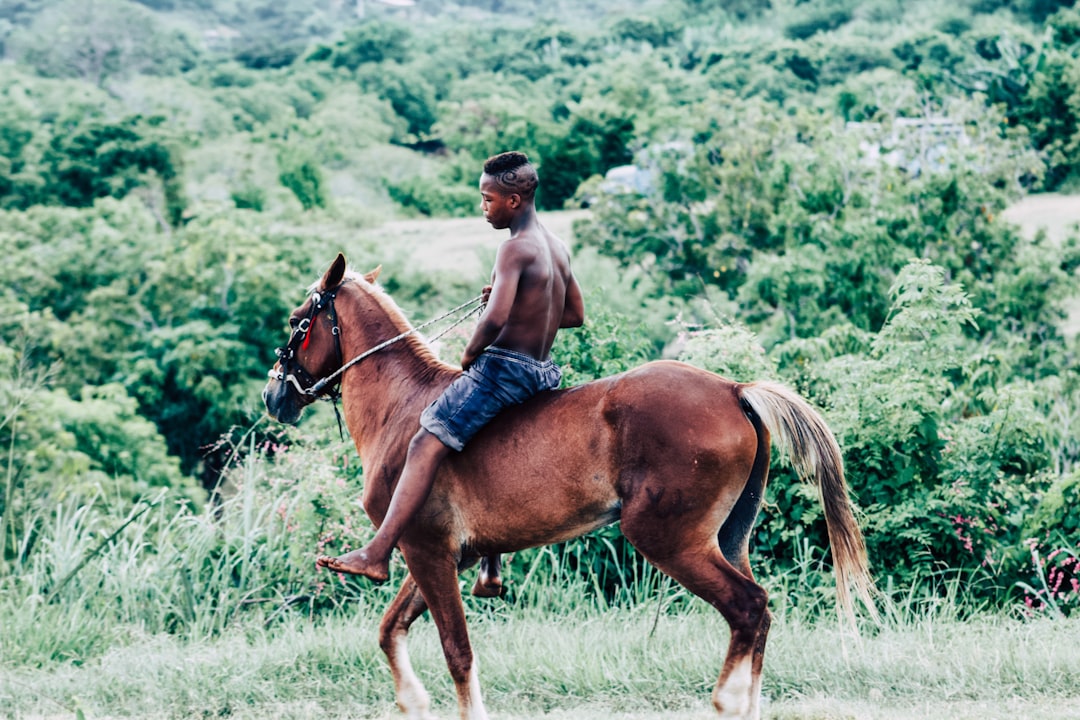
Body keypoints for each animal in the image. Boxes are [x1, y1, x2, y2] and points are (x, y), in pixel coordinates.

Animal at [263, 254, 876, 720]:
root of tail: (732, 390)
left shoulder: (425, 550)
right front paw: (412, 701)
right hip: (727, 539)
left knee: (748, 607)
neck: (402, 407)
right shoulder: (444, 556)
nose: (274, 395)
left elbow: (457, 651)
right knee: (758, 614)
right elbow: (390, 631)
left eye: (298, 322)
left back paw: (727, 701)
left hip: (670, 540)